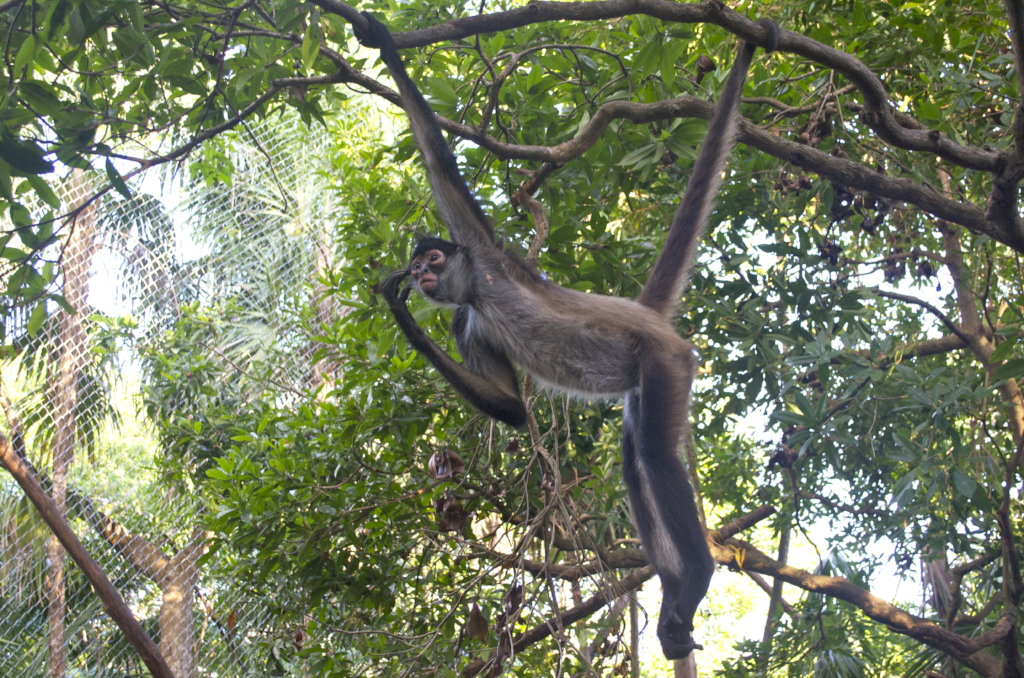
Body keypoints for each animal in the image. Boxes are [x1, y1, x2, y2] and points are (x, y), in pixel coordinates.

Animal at [355, 14, 778, 659]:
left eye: (433, 257)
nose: (423, 275)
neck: (479, 294)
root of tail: (647, 317)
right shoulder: (465, 322)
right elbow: (511, 409)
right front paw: (403, 318)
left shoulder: (484, 253)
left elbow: (438, 158)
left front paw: (379, 39)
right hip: (648, 375)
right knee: (634, 458)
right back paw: (673, 598)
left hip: (667, 359)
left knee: (654, 454)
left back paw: (697, 578)